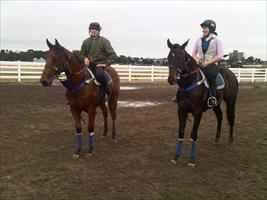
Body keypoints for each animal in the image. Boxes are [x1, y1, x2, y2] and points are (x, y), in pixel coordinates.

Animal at [168, 38, 239, 166]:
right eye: (168, 57)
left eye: (180, 57)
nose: (172, 79)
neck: (189, 84)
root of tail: (231, 72)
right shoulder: (181, 110)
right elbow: (181, 133)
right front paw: (176, 157)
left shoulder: (198, 112)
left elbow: (193, 135)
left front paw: (192, 160)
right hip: (216, 104)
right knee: (220, 116)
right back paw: (217, 138)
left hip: (231, 101)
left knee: (231, 118)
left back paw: (230, 140)